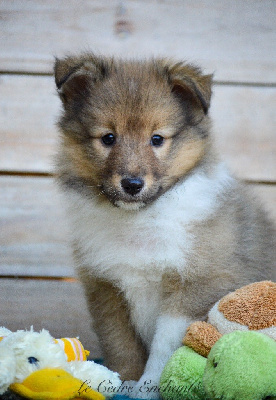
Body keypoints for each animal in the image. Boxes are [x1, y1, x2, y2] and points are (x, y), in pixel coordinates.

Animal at [53, 54, 274, 398]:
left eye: (157, 139)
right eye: (108, 138)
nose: (132, 184)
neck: (140, 220)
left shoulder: (194, 285)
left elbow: (165, 347)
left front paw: (149, 386)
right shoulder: (108, 290)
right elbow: (121, 345)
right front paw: (123, 382)